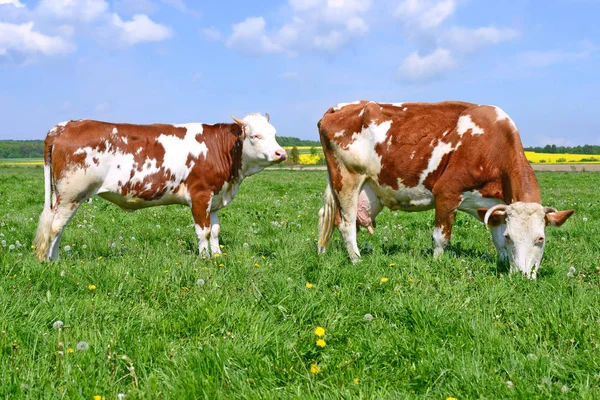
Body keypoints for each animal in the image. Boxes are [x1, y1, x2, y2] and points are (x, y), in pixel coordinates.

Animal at [34, 113, 288, 262]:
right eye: (255, 136)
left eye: (274, 134)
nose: (281, 153)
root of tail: (66, 125)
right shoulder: (200, 194)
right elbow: (203, 231)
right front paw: (205, 260)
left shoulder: (215, 198)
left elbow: (215, 230)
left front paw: (217, 256)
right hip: (71, 194)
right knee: (55, 228)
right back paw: (50, 262)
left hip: (63, 196)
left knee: (58, 227)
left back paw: (54, 259)